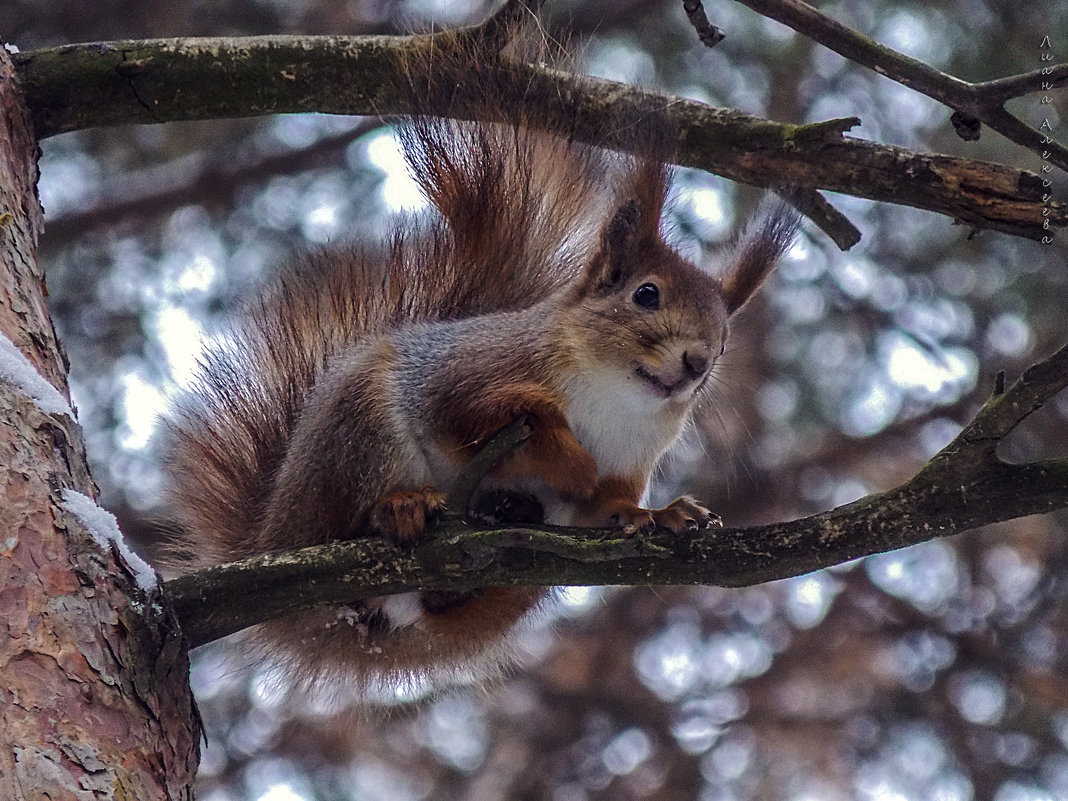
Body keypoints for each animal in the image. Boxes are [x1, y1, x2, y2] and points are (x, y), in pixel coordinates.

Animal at [164, 25, 803, 692]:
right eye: (646, 295)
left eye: (726, 341)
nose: (698, 363)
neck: (614, 398)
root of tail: (275, 534)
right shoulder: (468, 376)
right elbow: (475, 421)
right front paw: (566, 455)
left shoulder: (631, 459)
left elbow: (605, 504)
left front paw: (656, 513)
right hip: (357, 435)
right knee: (349, 516)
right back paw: (400, 508)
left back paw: (502, 515)